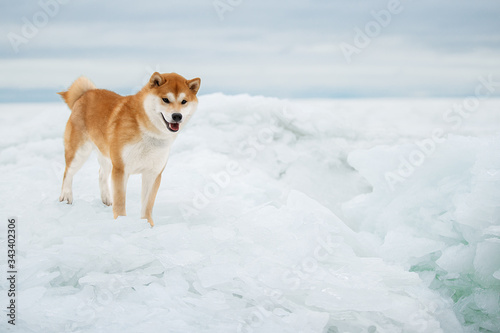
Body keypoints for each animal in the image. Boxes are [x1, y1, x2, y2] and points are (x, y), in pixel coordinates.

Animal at [57, 72, 200, 226]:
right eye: (165, 100)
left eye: (184, 101)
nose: (177, 116)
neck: (148, 133)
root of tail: (86, 93)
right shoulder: (121, 169)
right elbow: (120, 202)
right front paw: (121, 222)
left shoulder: (153, 173)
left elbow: (147, 205)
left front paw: (147, 225)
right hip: (80, 153)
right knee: (67, 173)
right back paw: (66, 197)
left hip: (107, 156)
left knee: (101, 174)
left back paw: (106, 199)